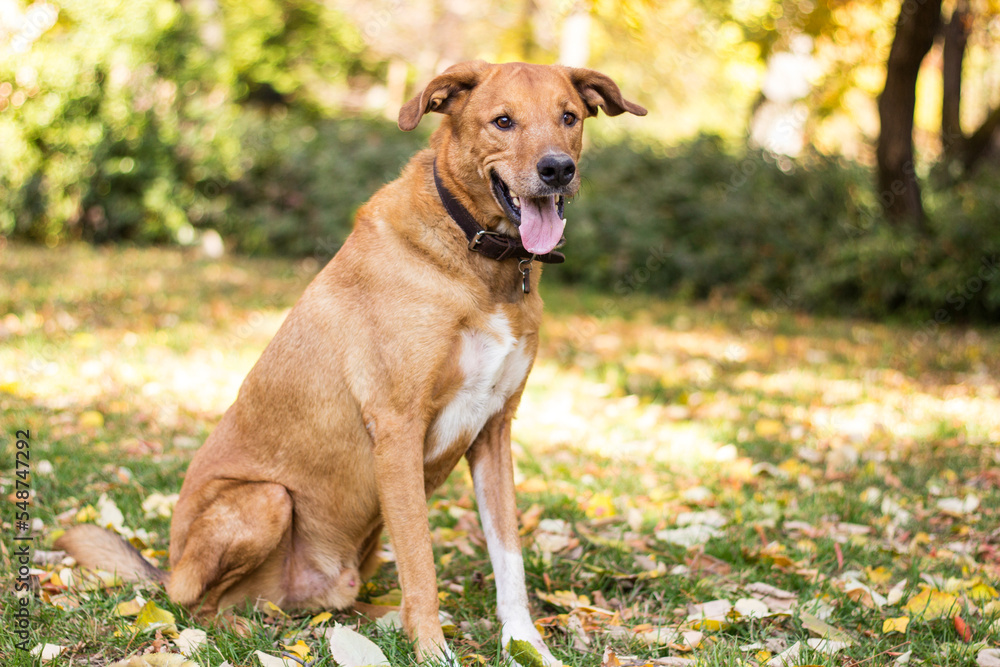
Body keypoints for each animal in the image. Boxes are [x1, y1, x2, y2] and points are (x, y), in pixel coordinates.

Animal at [56, 61, 648, 664]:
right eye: (503, 121)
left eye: (569, 117)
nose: (558, 170)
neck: (481, 264)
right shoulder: (398, 430)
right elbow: (422, 565)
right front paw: (433, 651)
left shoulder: (494, 432)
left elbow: (510, 561)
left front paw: (526, 645)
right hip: (265, 501)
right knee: (195, 605)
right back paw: (240, 631)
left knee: (328, 604)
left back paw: (371, 622)